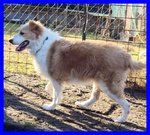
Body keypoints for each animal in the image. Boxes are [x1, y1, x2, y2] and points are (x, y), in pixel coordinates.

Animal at [8, 20, 145, 122]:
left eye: (22, 33)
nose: (9, 40)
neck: (42, 43)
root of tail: (126, 56)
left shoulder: (55, 78)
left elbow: (55, 95)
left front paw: (51, 107)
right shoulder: (55, 79)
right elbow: (50, 89)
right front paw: (58, 99)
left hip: (109, 86)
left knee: (126, 104)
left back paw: (121, 119)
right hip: (99, 82)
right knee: (95, 96)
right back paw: (83, 105)